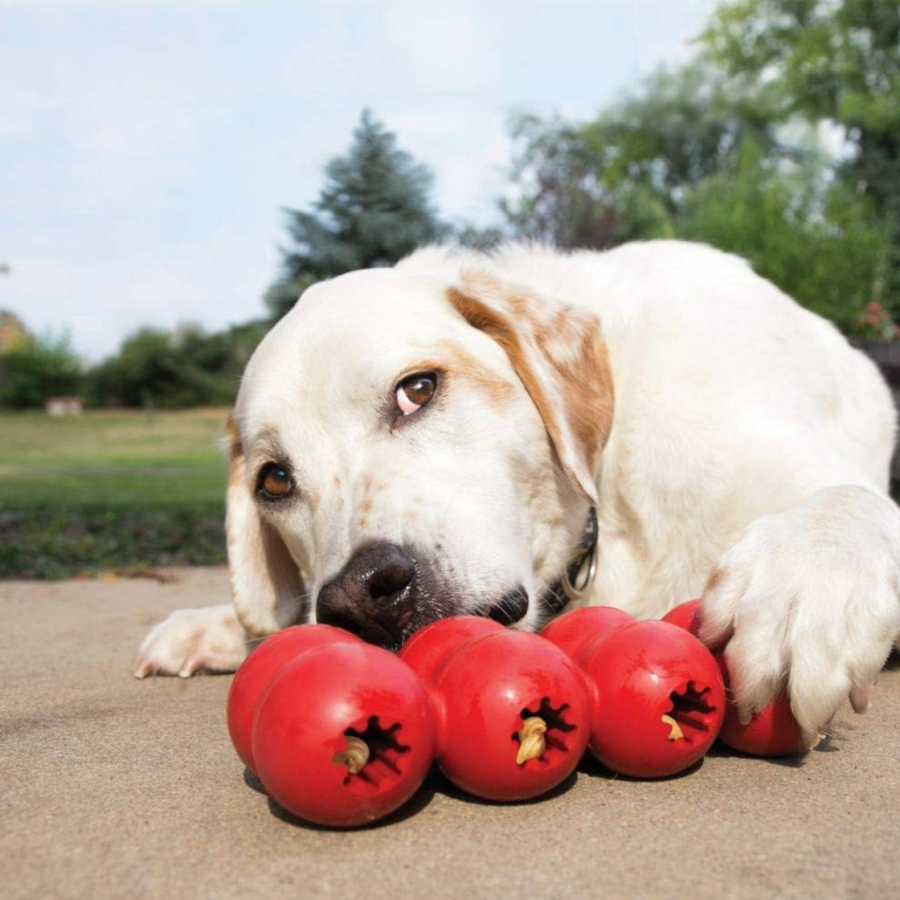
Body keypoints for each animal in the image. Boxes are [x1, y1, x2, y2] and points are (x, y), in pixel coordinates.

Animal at [134, 241, 900, 744]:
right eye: (276, 480)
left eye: (418, 389)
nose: (356, 596)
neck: (606, 504)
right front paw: (222, 624)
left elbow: (849, 505)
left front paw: (804, 588)